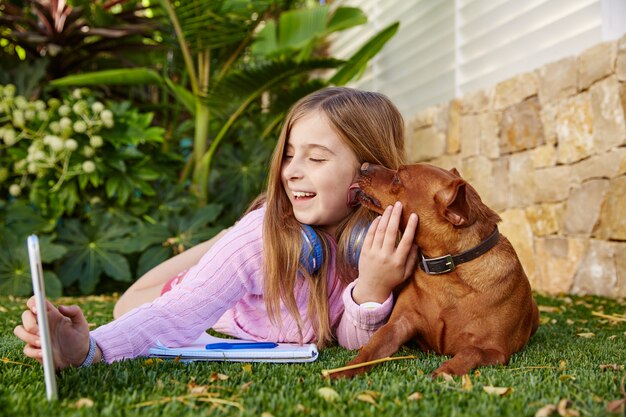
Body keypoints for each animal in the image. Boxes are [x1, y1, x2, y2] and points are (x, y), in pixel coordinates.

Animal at [334, 162, 540, 376]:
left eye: (398, 178)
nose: (364, 165)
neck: (447, 275)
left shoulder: (496, 350)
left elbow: (472, 351)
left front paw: (447, 369)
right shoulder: (397, 325)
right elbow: (371, 347)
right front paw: (343, 370)